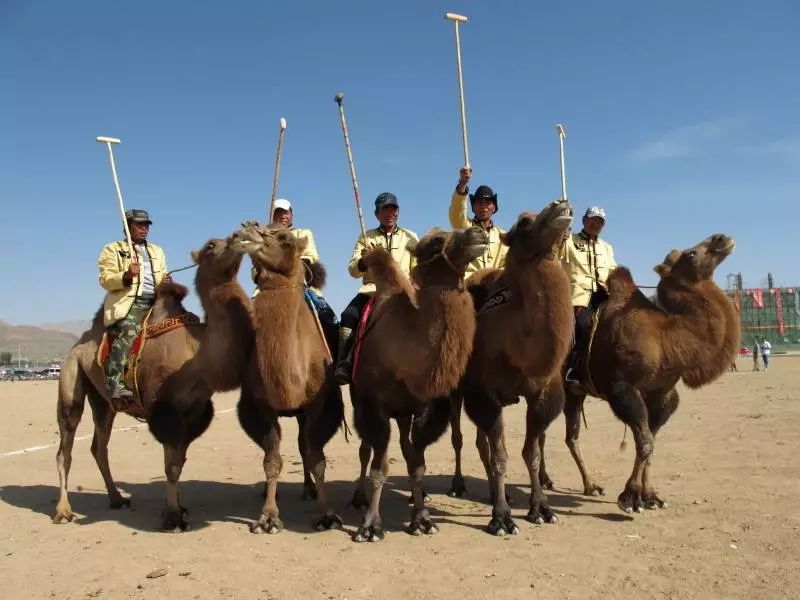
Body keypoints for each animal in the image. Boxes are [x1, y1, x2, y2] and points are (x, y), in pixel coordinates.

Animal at [230, 223, 346, 532]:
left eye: (285, 238)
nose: (246, 229)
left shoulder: (322, 404)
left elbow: (317, 457)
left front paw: (328, 514)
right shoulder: (259, 405)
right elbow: (272, 460)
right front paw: (268, 517)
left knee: (305, 446)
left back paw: (310, 489)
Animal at [350, 226, 488, 544]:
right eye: (436, 241)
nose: (477, 232)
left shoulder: (423, 409)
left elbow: (417, 465)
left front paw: (422, 519)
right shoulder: (374, 408)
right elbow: (379, 468)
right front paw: (370, 526)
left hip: (402, 414)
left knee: (404, 446)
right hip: (360, 400)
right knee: (365, 450)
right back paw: (359, 497)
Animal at [460, 202, 580, 536]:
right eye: (524, 223)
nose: (561, 206)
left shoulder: (543, 392)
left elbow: (533, 453)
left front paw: (541, 508)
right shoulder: (483, 392)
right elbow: (501, 455)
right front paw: (501, 518)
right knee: (476, 444)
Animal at [556, 234, 736, 510]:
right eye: (691, 254)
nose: (722, 238)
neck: (665, 338)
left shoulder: (661, 394)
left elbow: (651, 442)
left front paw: (650, 496)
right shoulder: (623, 389)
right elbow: (645, 442)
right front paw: (629, 497)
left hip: (575, 392)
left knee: (568, 436)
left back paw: (586, 485)